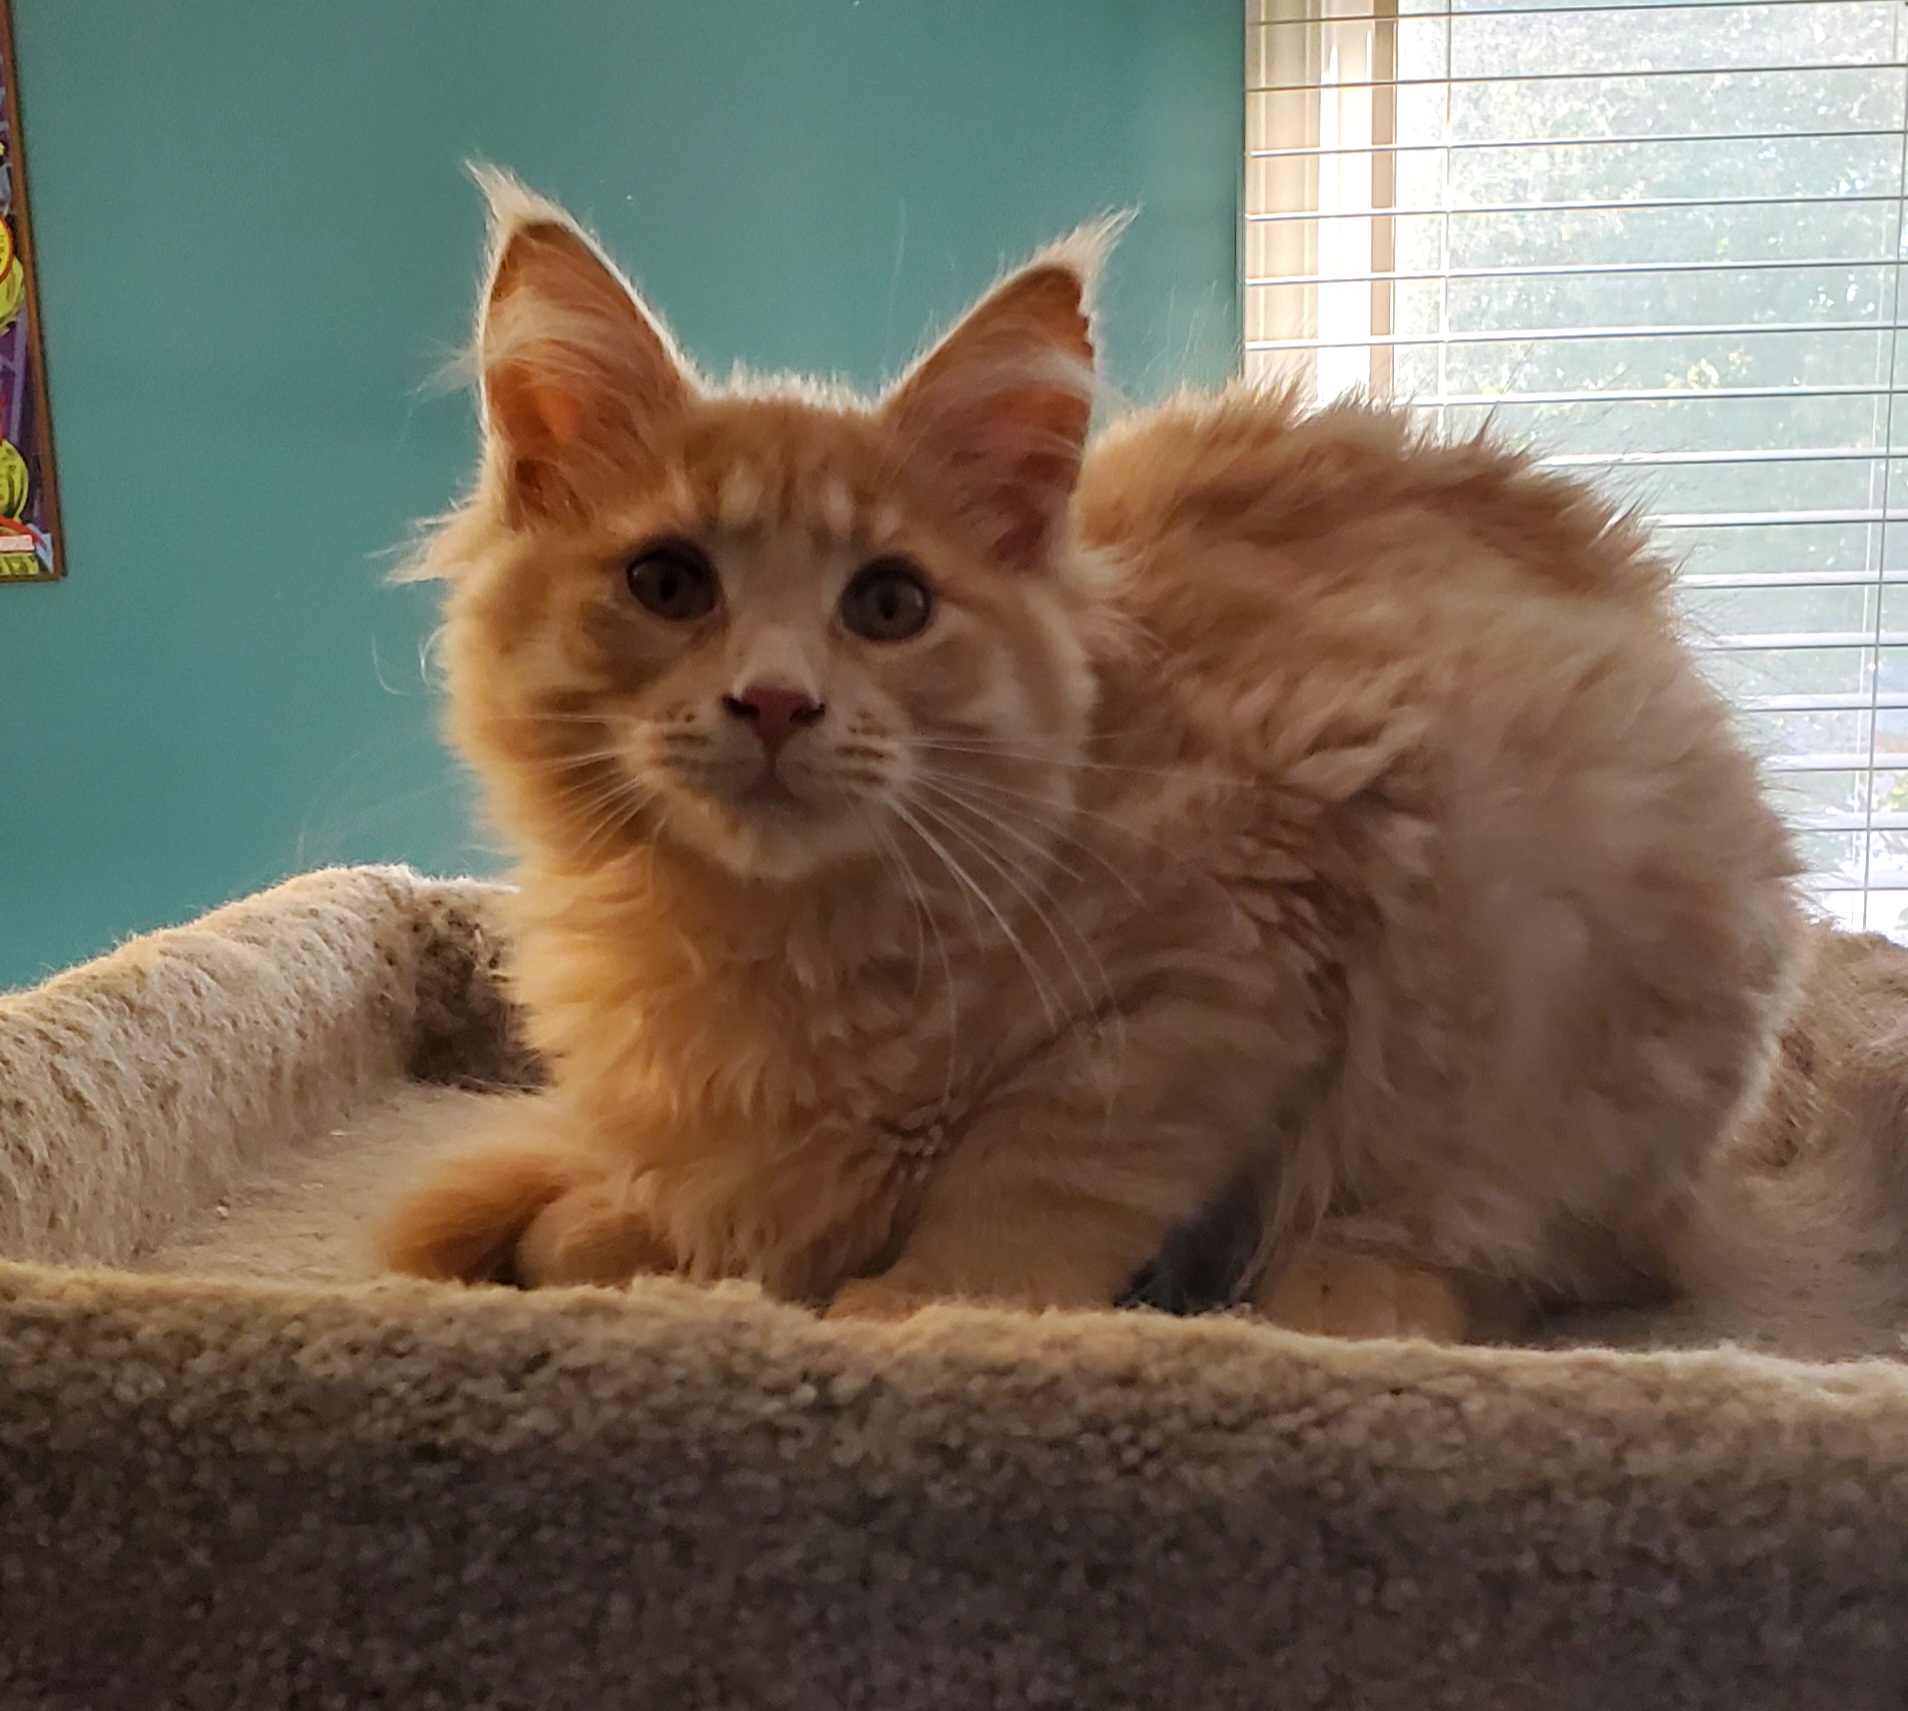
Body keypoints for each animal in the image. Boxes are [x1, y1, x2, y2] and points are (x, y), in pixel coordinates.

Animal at [383, 177, 1801, 1350]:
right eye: (669, 583)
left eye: (889, 605)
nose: (776, 701)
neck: (770, 948)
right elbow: (673, 1208)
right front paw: (626, 1236)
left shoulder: (1246, 929)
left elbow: (1039, 1171)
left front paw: (923, 1303)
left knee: (1510, 1240)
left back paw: (1350, 1293)